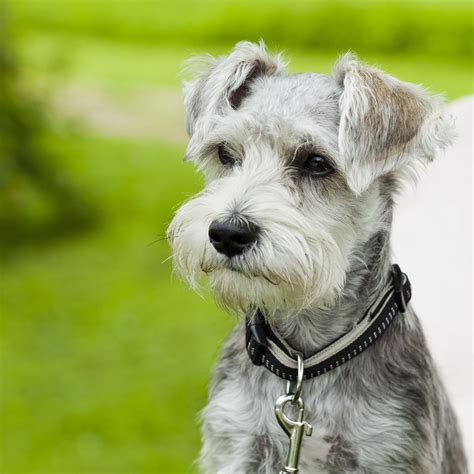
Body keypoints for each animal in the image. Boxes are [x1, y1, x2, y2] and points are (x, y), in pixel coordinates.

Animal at [168, 42, 466, 472]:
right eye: (225, 153)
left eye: (316, 162)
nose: (227, 232)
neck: (305, 365)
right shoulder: (236, 443)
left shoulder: (391, 449)